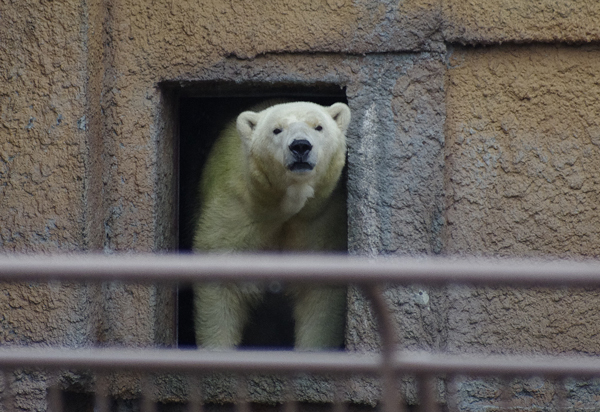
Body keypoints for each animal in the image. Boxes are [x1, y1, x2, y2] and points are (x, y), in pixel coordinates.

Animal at [192, 101, 352, 350]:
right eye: (277, 130)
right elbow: (220, 281)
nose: (300, 146)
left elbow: (320, 294)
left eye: (318, 126)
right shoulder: (238, 210)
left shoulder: (320, 218)